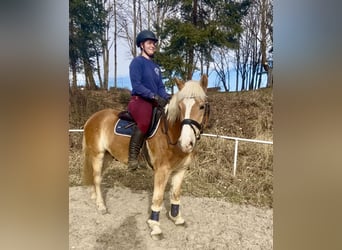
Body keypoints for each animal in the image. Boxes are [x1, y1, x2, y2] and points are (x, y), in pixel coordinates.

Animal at [82, 74, 210, 238]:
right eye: (180, 107)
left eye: (201, 107)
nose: (186, 143)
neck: (171, 133)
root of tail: (92, 118)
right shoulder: (162, 171)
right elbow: (158, 197)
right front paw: (154, 225)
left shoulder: (180, 170)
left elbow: (175, 195)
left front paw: (176, 218)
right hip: (97, 155)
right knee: (97, 178)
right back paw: (101, 205)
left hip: (107, 156)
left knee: (95, 176)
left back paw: (95, 196)